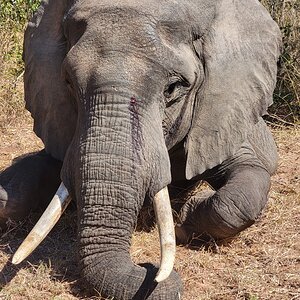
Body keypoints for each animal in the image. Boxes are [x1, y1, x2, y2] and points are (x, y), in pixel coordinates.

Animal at [0, 0, 282, 298]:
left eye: (173, 88)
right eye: (68, 83)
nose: (149, 269)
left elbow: (245, 182)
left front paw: (184, 220)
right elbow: (15, 192)